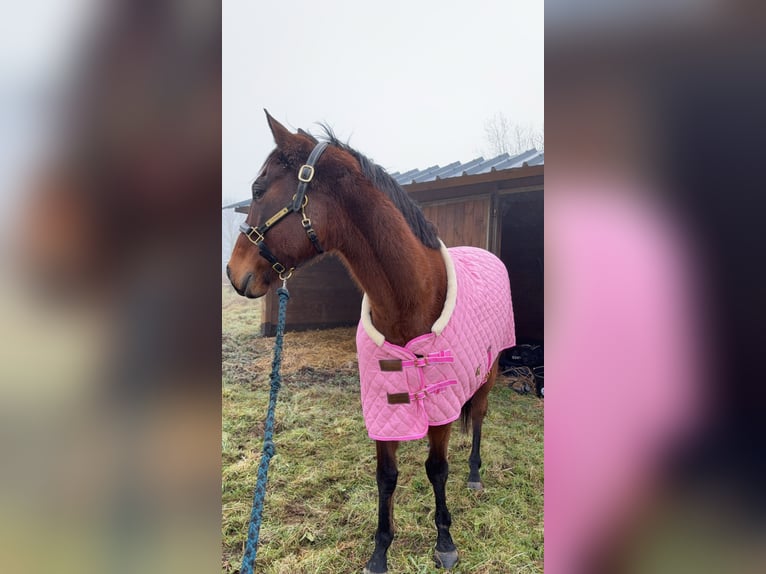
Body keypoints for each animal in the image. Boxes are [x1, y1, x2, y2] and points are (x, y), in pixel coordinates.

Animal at [228, 110, 516, 572]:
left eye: (258, 189)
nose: (234, 273)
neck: (410, 298)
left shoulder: (441, 405)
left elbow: (437, 468)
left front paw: (444, 540)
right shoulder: (382, 404)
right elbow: (386, 477)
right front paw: (380, 549)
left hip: (486, 374)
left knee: (479, 418)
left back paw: (474, 474)